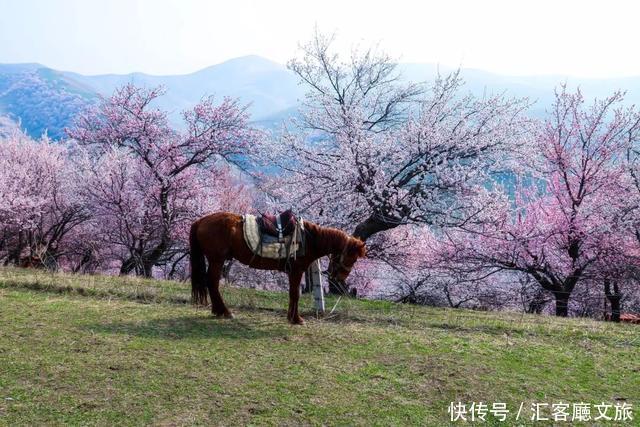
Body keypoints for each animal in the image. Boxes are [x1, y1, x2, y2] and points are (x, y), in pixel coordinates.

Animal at [189, 212, 364, 326]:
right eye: (353, 258)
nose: (340, 277)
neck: (309, 239)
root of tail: (201, 221)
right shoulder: (296, 270)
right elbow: (295, 294)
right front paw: (296, 319)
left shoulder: (294, 272)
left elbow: (293, 294)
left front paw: (291, 317)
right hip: (217, 260)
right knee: (212, 283)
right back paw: (224, 311)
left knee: (211, 283)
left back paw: (218, 311)